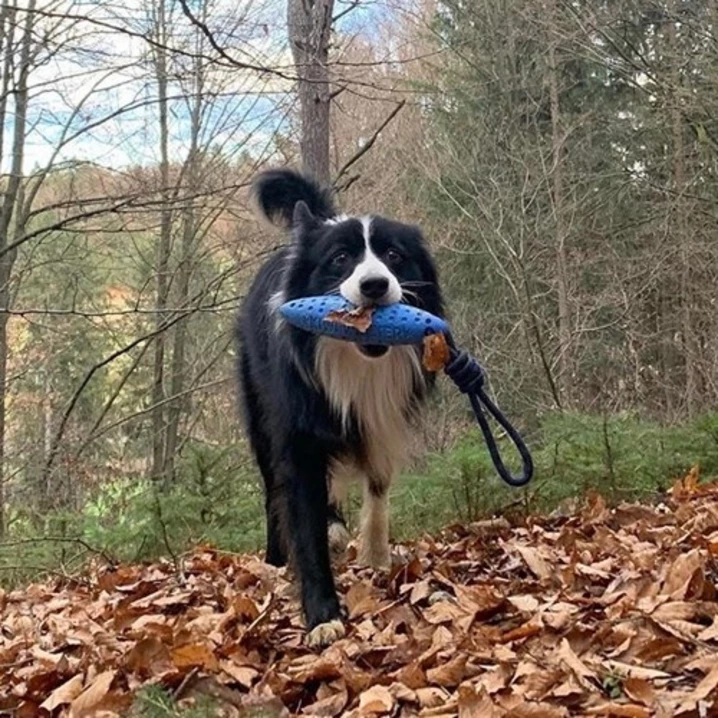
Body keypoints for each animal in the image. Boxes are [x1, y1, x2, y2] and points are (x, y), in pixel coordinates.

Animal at [235, 169, 444, 648]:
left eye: (393, 255)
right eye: (341, 258)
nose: (375, 285)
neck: (353, 361)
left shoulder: (384, 421)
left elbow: (378, 489)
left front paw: (377, 555)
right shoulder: (295, 441)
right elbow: (304, 523)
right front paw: (322, 616)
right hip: (258, 415)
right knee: (271, 487)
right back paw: (278, 557)